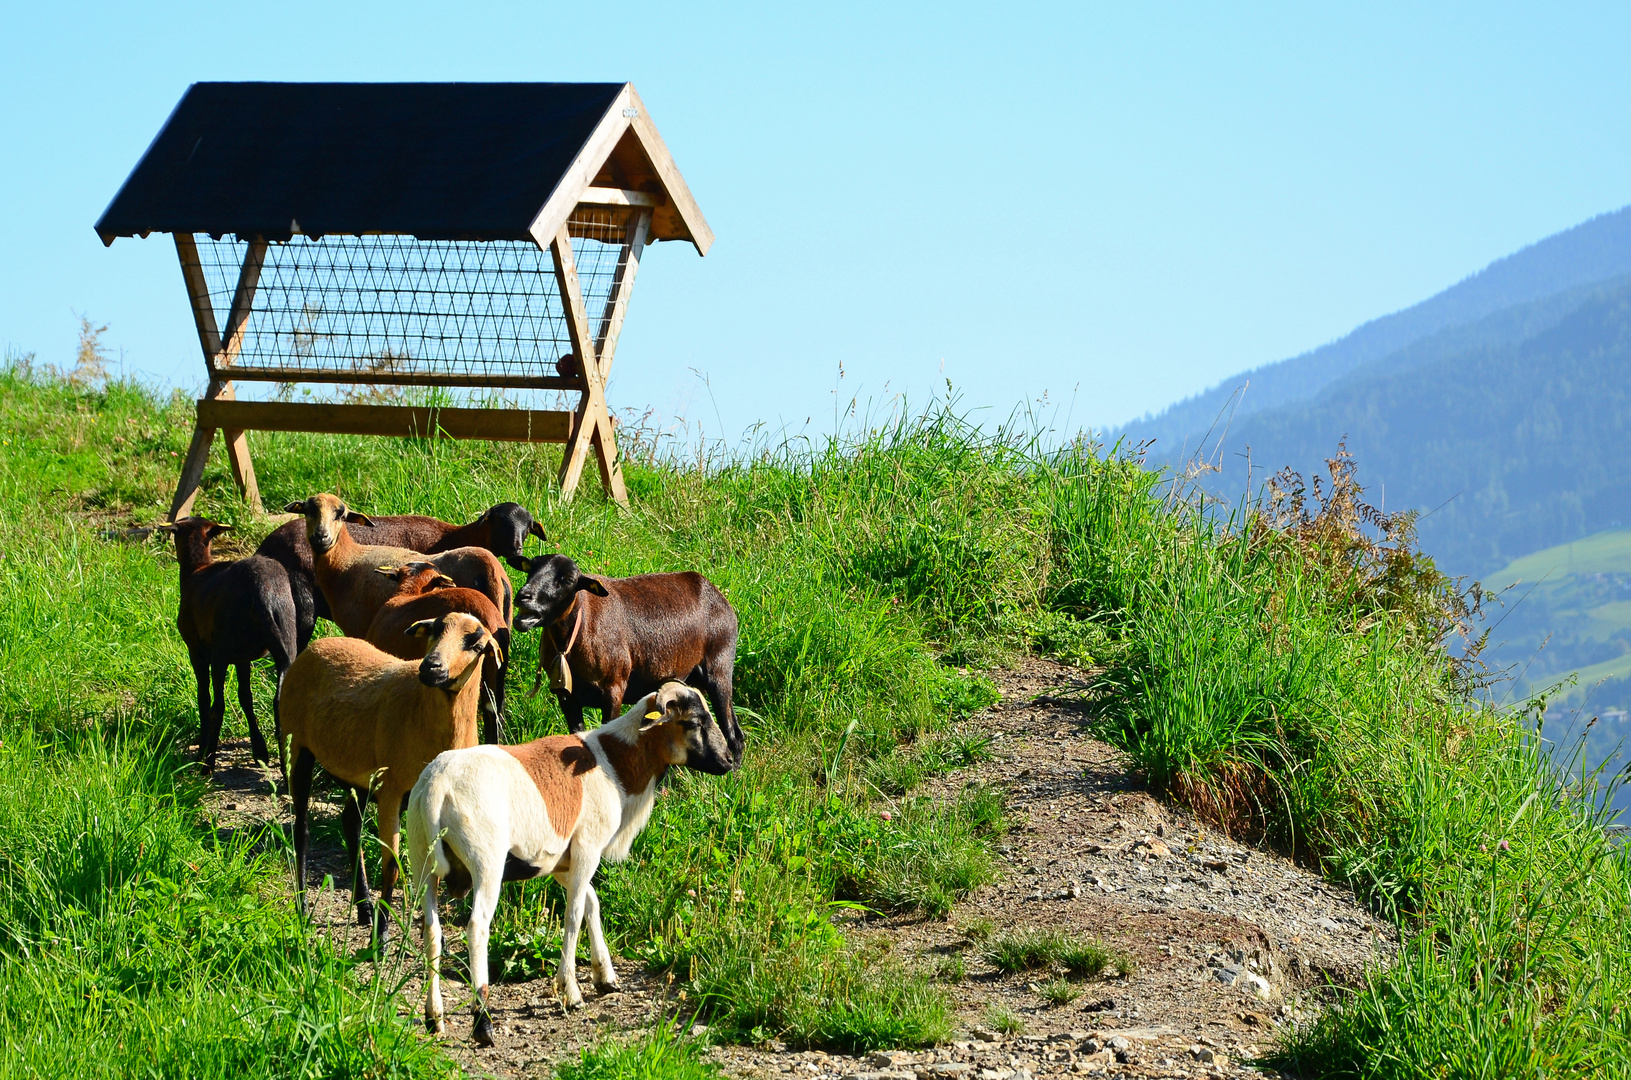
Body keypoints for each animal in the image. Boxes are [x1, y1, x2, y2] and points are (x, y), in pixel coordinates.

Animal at [162, 522, 300, 773]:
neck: (196, 570)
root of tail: (263, 593)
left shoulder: (197, 651)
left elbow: (204, 697)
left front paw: (203, 745)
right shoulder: (242, 658)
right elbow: (246, 697)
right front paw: (260, 752)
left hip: (221, 651)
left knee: (218, 705)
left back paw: (207, 762)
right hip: (285, 635)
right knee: (280, 696)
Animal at [277, 613, 499, 946]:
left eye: (475, 643)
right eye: (434, 630)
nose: (430, 667)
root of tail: (318, 644)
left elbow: (431, 866)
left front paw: (429, 935)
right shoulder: (392, 793)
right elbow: (392, 865)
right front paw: (380, 938)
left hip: (360, 775)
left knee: (350, 822)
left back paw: (364, 908)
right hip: (298, 748)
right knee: (301, 829)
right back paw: (303, 908)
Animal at [404, 685, 737, 1050]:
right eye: (694, 721)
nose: (729, 760)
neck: (616, 766)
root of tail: (437, 787)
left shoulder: (560, 862)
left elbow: (592, 901)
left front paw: (605, 976)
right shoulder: (588, 847)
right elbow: (574, 913)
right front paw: (571, 992)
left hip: (422, 861)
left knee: (431, 932)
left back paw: (434, 1019)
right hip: (485, 860)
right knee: (477, 928)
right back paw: (483, 1025)